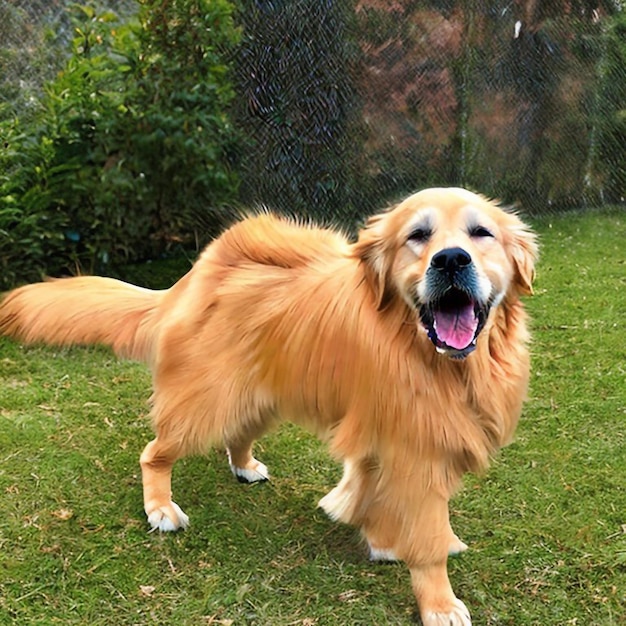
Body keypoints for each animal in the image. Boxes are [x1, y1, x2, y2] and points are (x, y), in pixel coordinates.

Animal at [0, 188, 536, 620]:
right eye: (417, 235)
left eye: (481, 233)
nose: (451, 260)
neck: (433, 359)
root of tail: (198, 273)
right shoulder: (417, 448)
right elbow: (425, 537)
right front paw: (438, 602)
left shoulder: (381, 432)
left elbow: (369, 487)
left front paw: (375, 534)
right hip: (206, 401)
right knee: (154, 453)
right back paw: (160, 508)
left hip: (258, 398)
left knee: (236, 436)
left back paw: (244, 467)